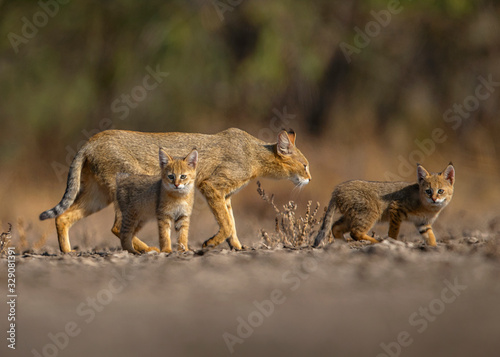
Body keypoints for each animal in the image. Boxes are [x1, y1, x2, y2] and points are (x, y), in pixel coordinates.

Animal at [41, 126, 310, 252]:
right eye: (305, 165)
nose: (309, 178)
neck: (254, 155)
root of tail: (91, 140)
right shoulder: (211, 187)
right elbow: (226, 223)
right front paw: (212, 243)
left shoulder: (225, 195)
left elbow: (231, 222)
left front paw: (237, 247)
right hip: (126, 193)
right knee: (117, 227)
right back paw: (146, 250)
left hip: (97, 196)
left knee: (63, 217)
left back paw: (67, 252)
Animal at [314, 163, 456, 246]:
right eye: (428, 191)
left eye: (440, 191)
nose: (434, 199)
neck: (429, 208)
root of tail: (338, 189)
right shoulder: (396, 209)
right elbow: (393, 231)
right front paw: (392, 242)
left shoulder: (423, 224)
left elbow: (431, 237)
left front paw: (434, 248)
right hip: (370, 213)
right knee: (355, 233)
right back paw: (377, 241)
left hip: (352, 216)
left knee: (335, 227)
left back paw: (342, 243)